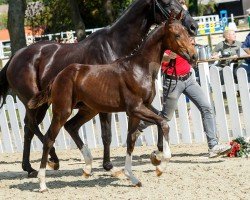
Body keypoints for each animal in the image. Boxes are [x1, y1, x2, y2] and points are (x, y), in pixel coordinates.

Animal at [0, 0, 197, 177]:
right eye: (168, 3)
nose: (193, 27)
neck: (117, 46)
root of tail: (14, 57)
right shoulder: (113, 107)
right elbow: (107, 134)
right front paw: (108, 165)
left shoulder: (140, 105)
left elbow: (161, 119)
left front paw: (157, 154)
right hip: (39, 103)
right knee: (34, 126)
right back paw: (52, 160)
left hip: (53, 105)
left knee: (30, 128)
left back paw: (29, 168)